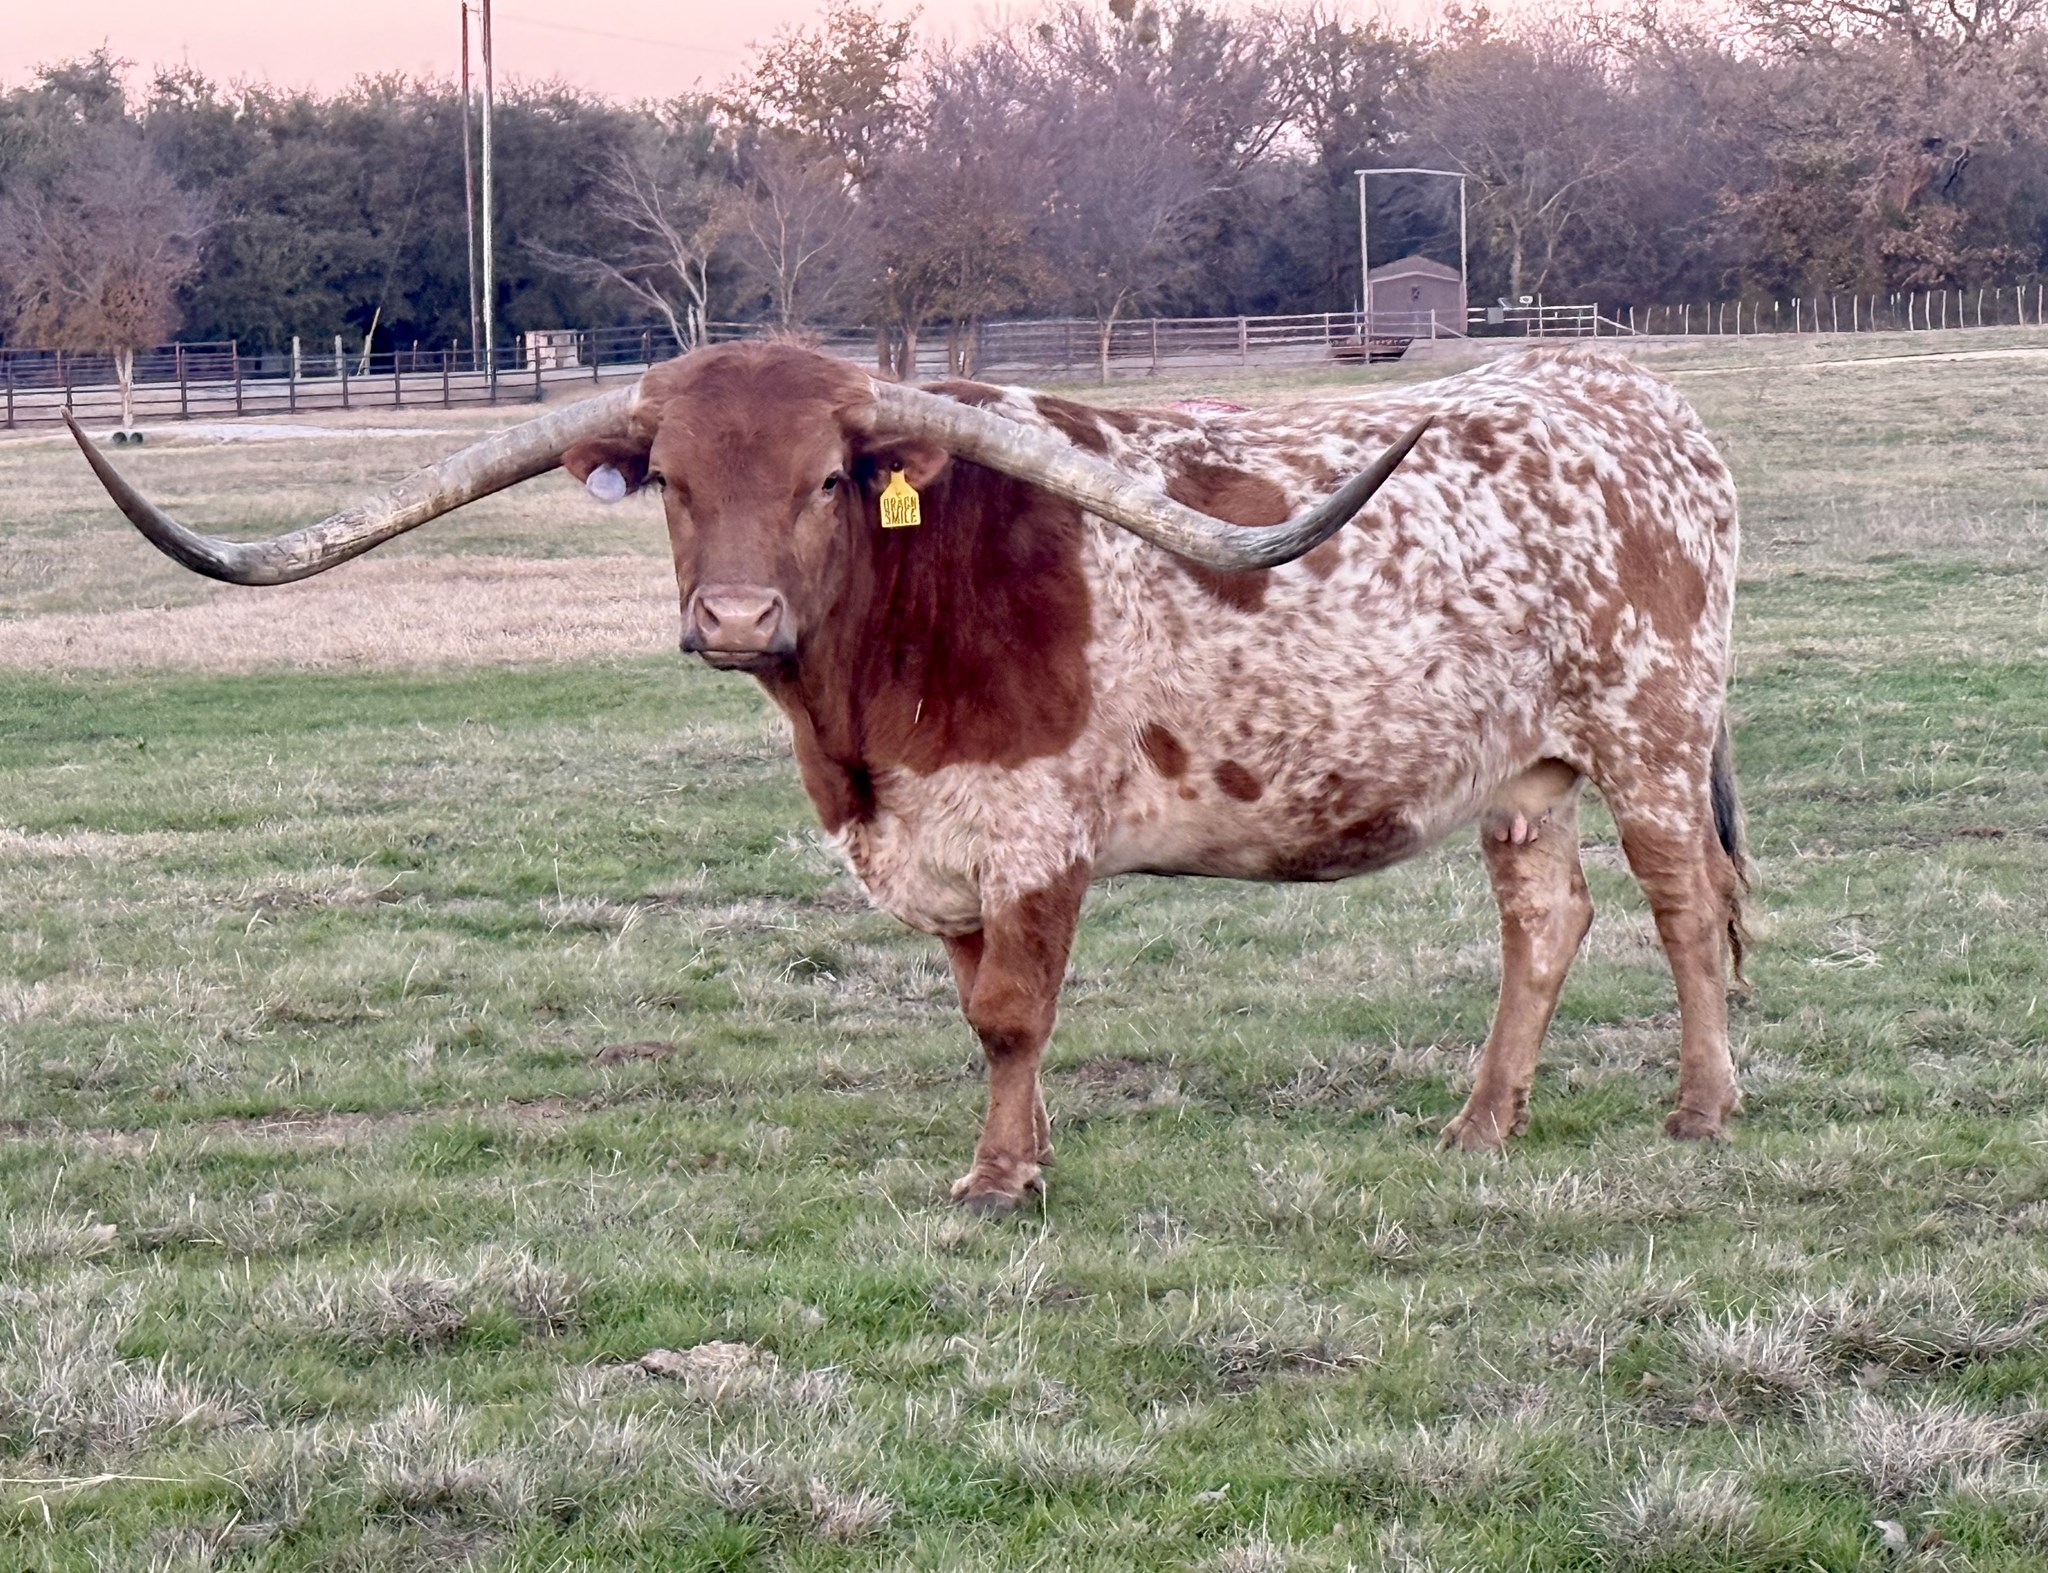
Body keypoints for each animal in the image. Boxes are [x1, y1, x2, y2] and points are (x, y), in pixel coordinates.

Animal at [66, 340, 1748, 1213]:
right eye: (672, 483)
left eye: (827, 476)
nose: (734, 619)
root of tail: (1636, 397)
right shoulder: (936, 852)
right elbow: (976, 1009)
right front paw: (1027, 1151)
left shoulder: (1037, 835)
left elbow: (1013, 1012)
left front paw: (1001, 1181)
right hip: (1524, 767)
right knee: (1547, 922)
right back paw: (1482, 1125)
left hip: (1652, 731)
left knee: (1684, 912)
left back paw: (1703, 1108)